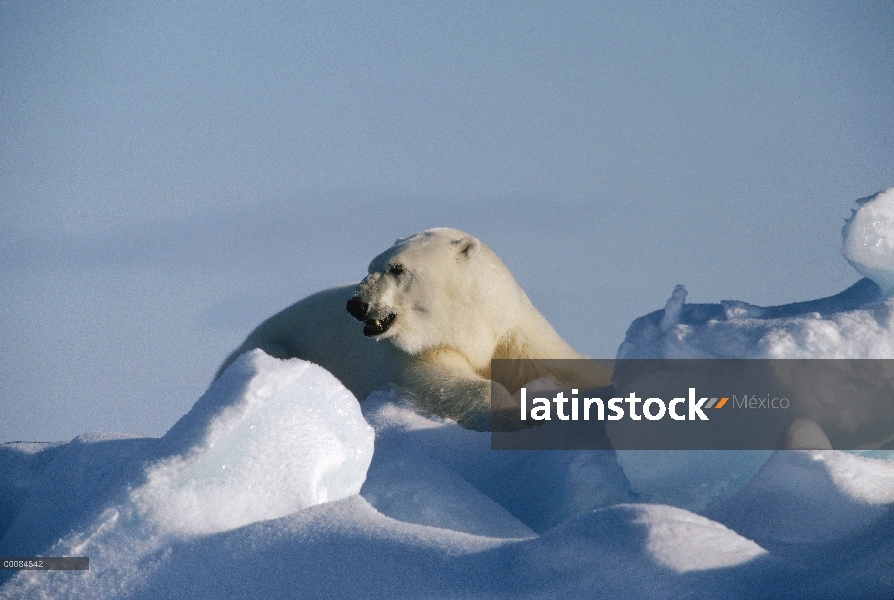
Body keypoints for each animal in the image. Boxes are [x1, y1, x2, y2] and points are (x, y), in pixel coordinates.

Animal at [214, 227, 612, 428]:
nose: (355, 304)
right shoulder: (415, 354)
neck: (467, 324)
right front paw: (518, 413)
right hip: (272, 345)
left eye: (397, 269)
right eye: (372, 266)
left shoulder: (510, 327)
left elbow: (556, 361)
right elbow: (445, 384)